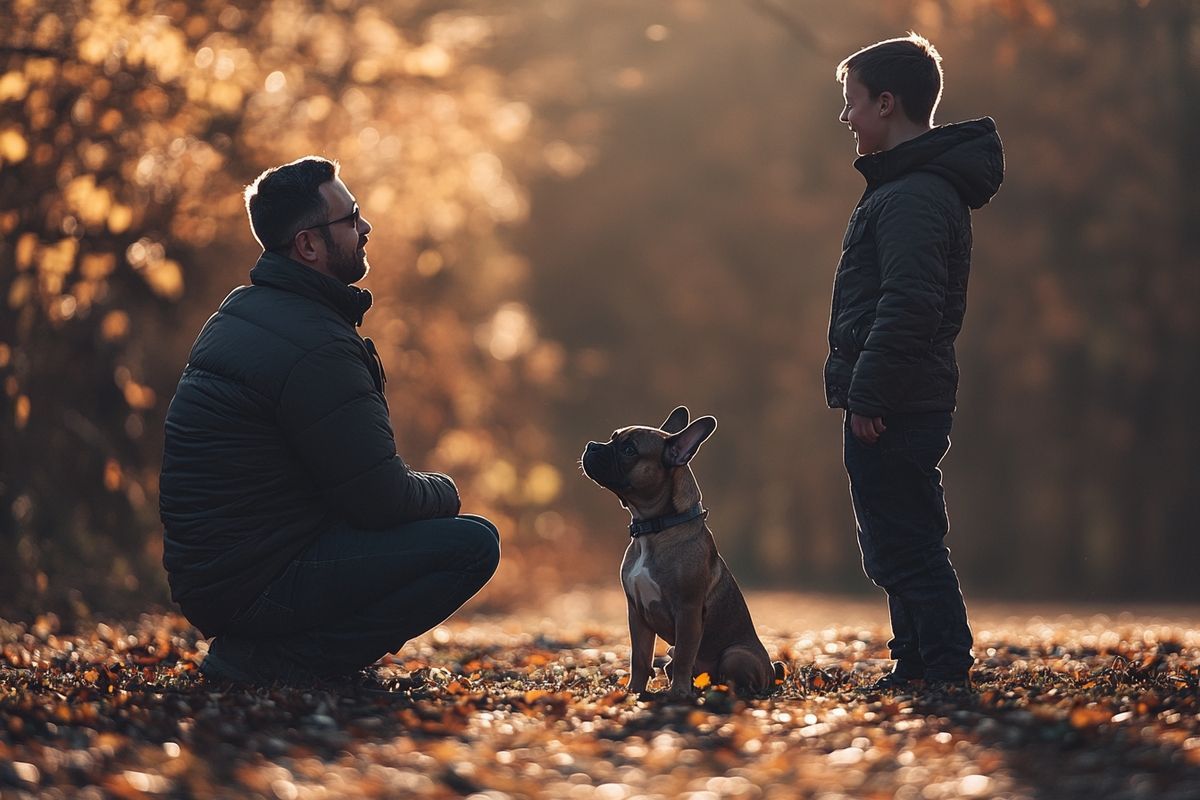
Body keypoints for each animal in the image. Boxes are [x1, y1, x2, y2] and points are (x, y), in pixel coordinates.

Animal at [578, 407, 777, 700]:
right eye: (613, 437)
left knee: (733, 677)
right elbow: (640, 657)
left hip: (736, 655)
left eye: (629, 449)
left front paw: (678, 693)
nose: (592, 445)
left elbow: (684, 654)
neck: (654, 528)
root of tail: (773, 672)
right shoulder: (636, 614)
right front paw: (634, 691)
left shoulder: (688, 610)